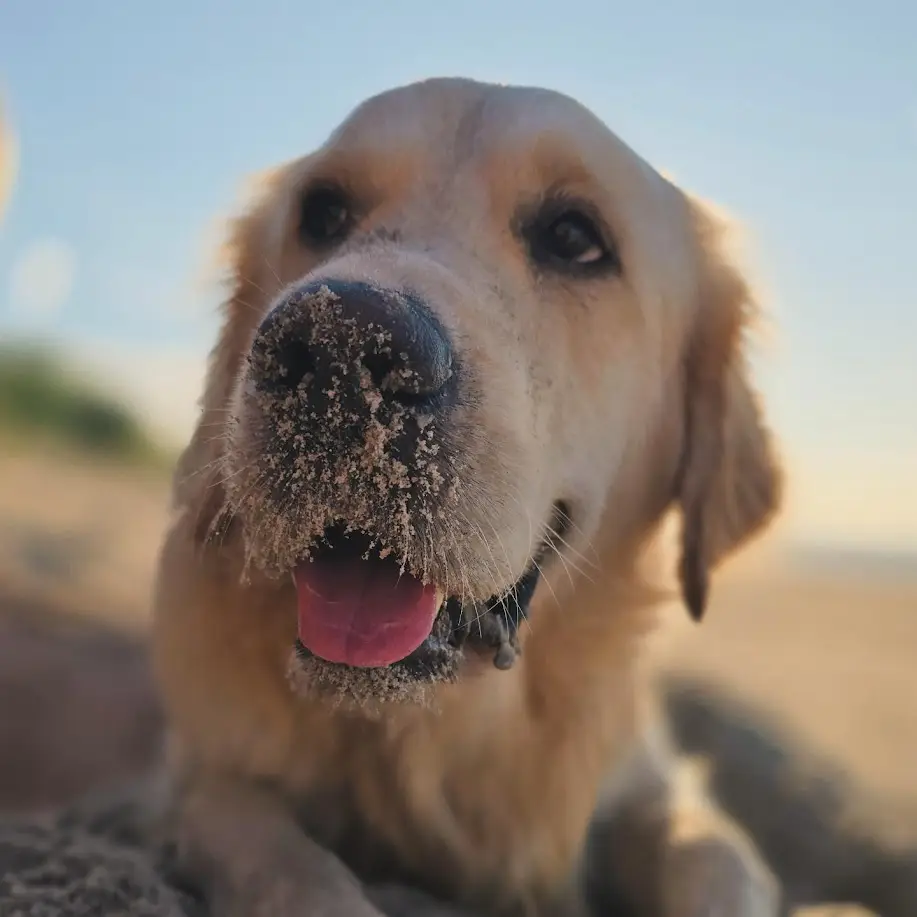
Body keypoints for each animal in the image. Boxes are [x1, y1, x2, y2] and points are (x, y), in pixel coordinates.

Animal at [154, 78, 784, 916]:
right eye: (322, 211)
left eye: (574, 237)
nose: (335, 350)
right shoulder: (202, 779)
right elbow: (277, 853)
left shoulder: (657, 788)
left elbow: (712, 856)